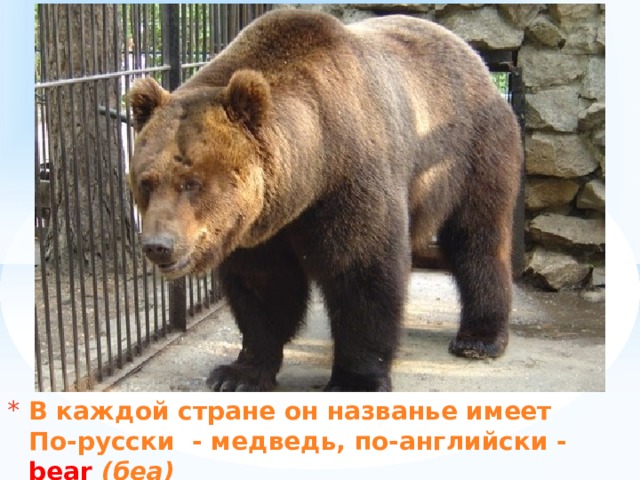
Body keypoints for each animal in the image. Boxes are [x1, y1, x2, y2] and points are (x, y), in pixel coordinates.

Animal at [128, 9, 522, 392]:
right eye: (146, 182)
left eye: (192, 183)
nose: (158, 245)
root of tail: (473, 56)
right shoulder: (259, 225)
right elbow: (263, 285)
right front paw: (238, 373)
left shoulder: (348, 180)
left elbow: (362, 270)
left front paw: (354, 380)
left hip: (472, 152)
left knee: (478, 238)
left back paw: (479, 338)